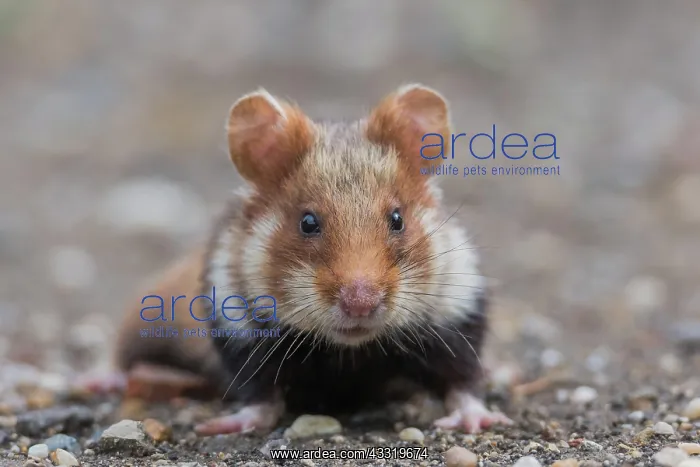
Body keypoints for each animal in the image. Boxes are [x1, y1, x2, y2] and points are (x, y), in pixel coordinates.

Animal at [111, 84, 512, 435]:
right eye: (307, 222)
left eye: (397, 218)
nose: (361, 304)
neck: (351, 352)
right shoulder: (240, 326)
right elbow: (261, 397)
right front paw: (220, 426)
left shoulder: (456, 312)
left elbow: (462, 382)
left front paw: (479, 420)